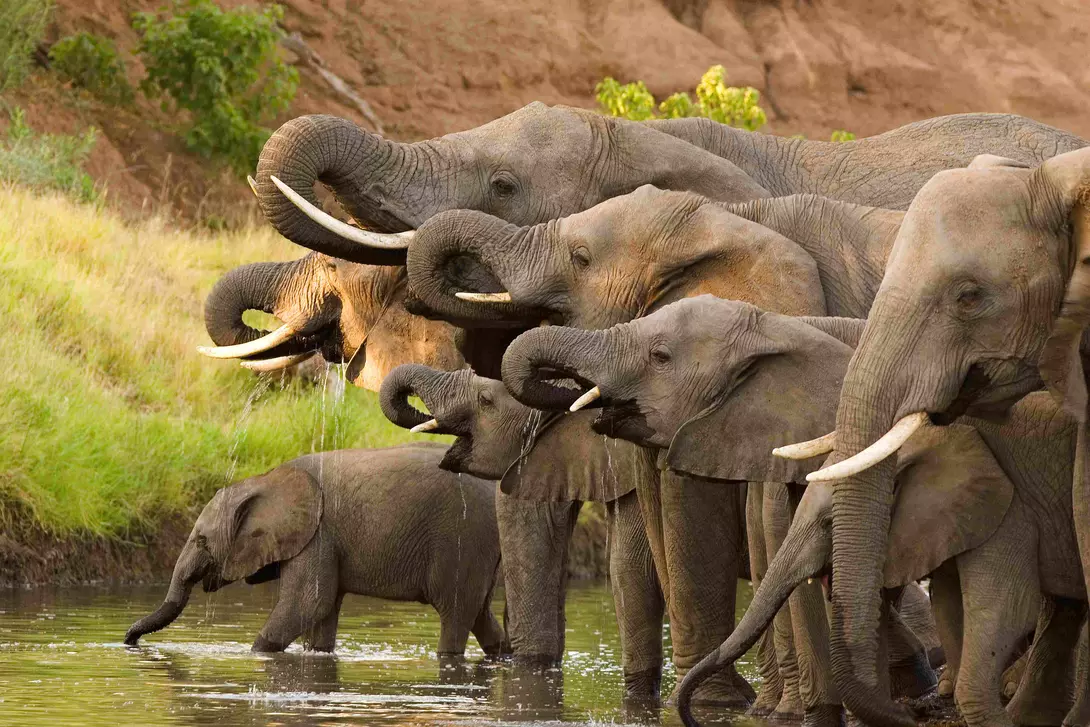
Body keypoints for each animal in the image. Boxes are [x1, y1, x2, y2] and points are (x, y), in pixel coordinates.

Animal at [124, 443, 507, 658]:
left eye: (201, 540)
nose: (128, 640)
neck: (266, 479)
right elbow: (322, 613)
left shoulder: (318, 534)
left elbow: (307, 603)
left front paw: (255, 654)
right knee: (480, 614)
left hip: (463, 539)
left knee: (455, 614)